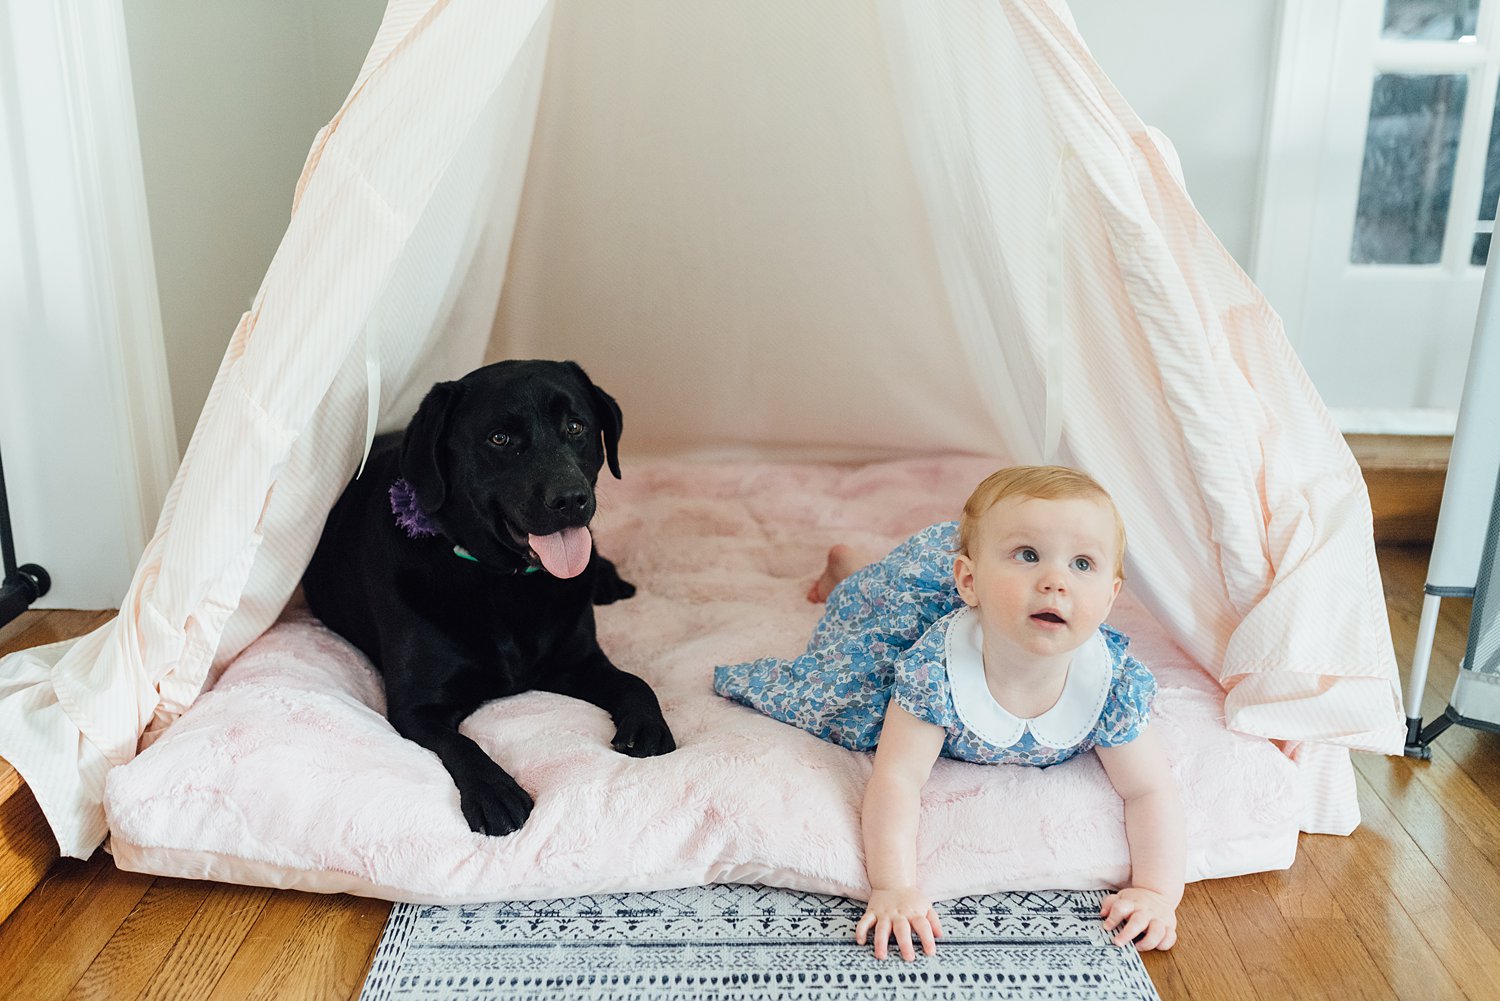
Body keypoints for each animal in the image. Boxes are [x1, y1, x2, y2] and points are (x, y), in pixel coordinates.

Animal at [301, 360, 678, 840]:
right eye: (500, 439)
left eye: (575, 427)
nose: (572, 499)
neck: (505, 583)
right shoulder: (416, 706)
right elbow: (461, 743)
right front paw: (495, 793)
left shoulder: (577, 661)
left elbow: (636, 682)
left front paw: (647, 726)